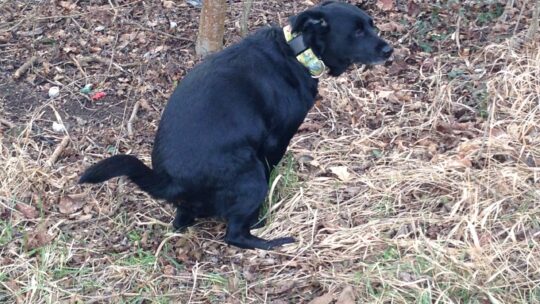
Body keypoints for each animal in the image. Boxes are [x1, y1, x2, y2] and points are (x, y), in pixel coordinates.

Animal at [79, 0, 392, 249]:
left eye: (371, 25)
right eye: (357, 31)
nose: (389, 49)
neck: (295, 53)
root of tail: (170, 182)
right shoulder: (275, 141)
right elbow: (271, 168)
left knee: (182, 221)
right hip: (249, 173)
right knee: (235, 235)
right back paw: (273, 240)